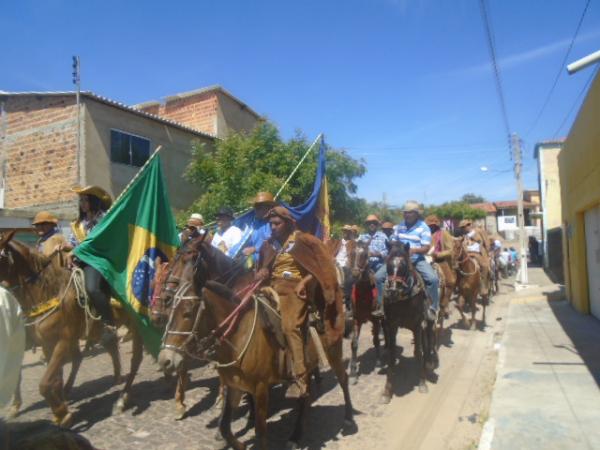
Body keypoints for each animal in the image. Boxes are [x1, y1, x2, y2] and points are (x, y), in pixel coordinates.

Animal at [0, 232, 144, 426]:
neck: (48, 291)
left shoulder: (64, 339)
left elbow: (44, 383)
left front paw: (62, 413)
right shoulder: (47, 343)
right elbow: (52, 378)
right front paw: (58, 406)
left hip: (133, 326)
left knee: (134, 359)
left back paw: (122, 397)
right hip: (96, 330)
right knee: (108, 348)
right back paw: (112, 379)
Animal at [158, 236, 356, 450]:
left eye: (188, 311)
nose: (165, 360)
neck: (238, 335)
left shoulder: (261, 388)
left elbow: (260, 430)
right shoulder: (235, 385)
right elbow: (225, 426)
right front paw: (232, 438)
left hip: (333, 350)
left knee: (343, 379)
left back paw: (348, 417)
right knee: (306, 395)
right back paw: (296, 435)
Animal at [346, 239, 384, 384]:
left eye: (365, 254)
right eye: (351, 253)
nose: (355, 274)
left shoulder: (375, 319)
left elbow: (376, 340)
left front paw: (379, 362)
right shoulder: (357, 319)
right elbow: (354, 344)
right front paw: (352, 373)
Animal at [382, 241, 434, 402]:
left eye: (404, 265)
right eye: (387, 263)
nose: (392, 291)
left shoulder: (417, 324)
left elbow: (418, 352)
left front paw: (422, 383)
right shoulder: (391, 325)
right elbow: (391, 355)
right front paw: (387, 391)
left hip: (427, 322)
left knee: (428, 341)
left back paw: (429, 364)